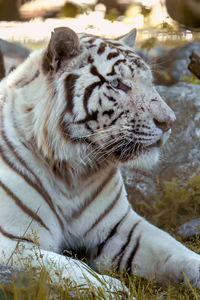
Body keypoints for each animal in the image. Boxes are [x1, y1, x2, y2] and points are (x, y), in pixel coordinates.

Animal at [0, 26, 200, 298]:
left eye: (149, 82)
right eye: (117, 84)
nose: (169, 122)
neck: (71, 175)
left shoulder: (121, 228)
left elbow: (176, 250)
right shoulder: (13, 241)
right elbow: (69, 267)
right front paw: (115, 289)